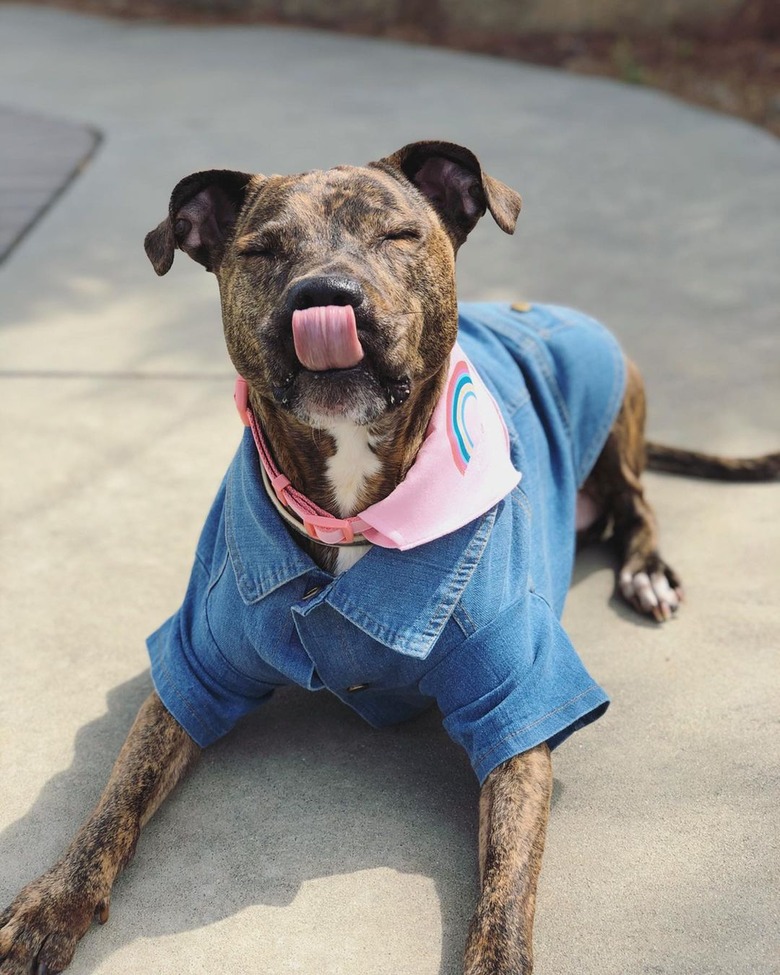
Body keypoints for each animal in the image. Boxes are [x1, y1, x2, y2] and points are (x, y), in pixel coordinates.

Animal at [1, 139, 780, 975]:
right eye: (262, 250)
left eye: (400, 235)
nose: (325, 294)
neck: (353, 512)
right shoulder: (194, 661)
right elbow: (115, 798)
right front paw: (54, 899)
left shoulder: (518, 700)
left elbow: (506, 879)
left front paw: (497, 955)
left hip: (614, 411)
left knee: (639, 501)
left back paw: (646, 572)